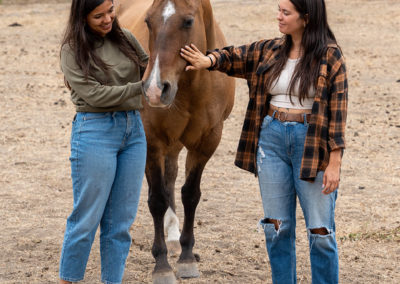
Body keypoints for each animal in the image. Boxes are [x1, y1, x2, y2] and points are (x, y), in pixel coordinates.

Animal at [119, 1, 234, 282]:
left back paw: (172, 235)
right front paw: (162, 265)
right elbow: (157, 200)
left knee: (170, 175)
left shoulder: (206, 142)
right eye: (148, 21)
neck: (191, 86)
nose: (153, 89)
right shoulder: (152, 141)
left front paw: (186, 257)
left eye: (188, 22)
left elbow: (190, 195)